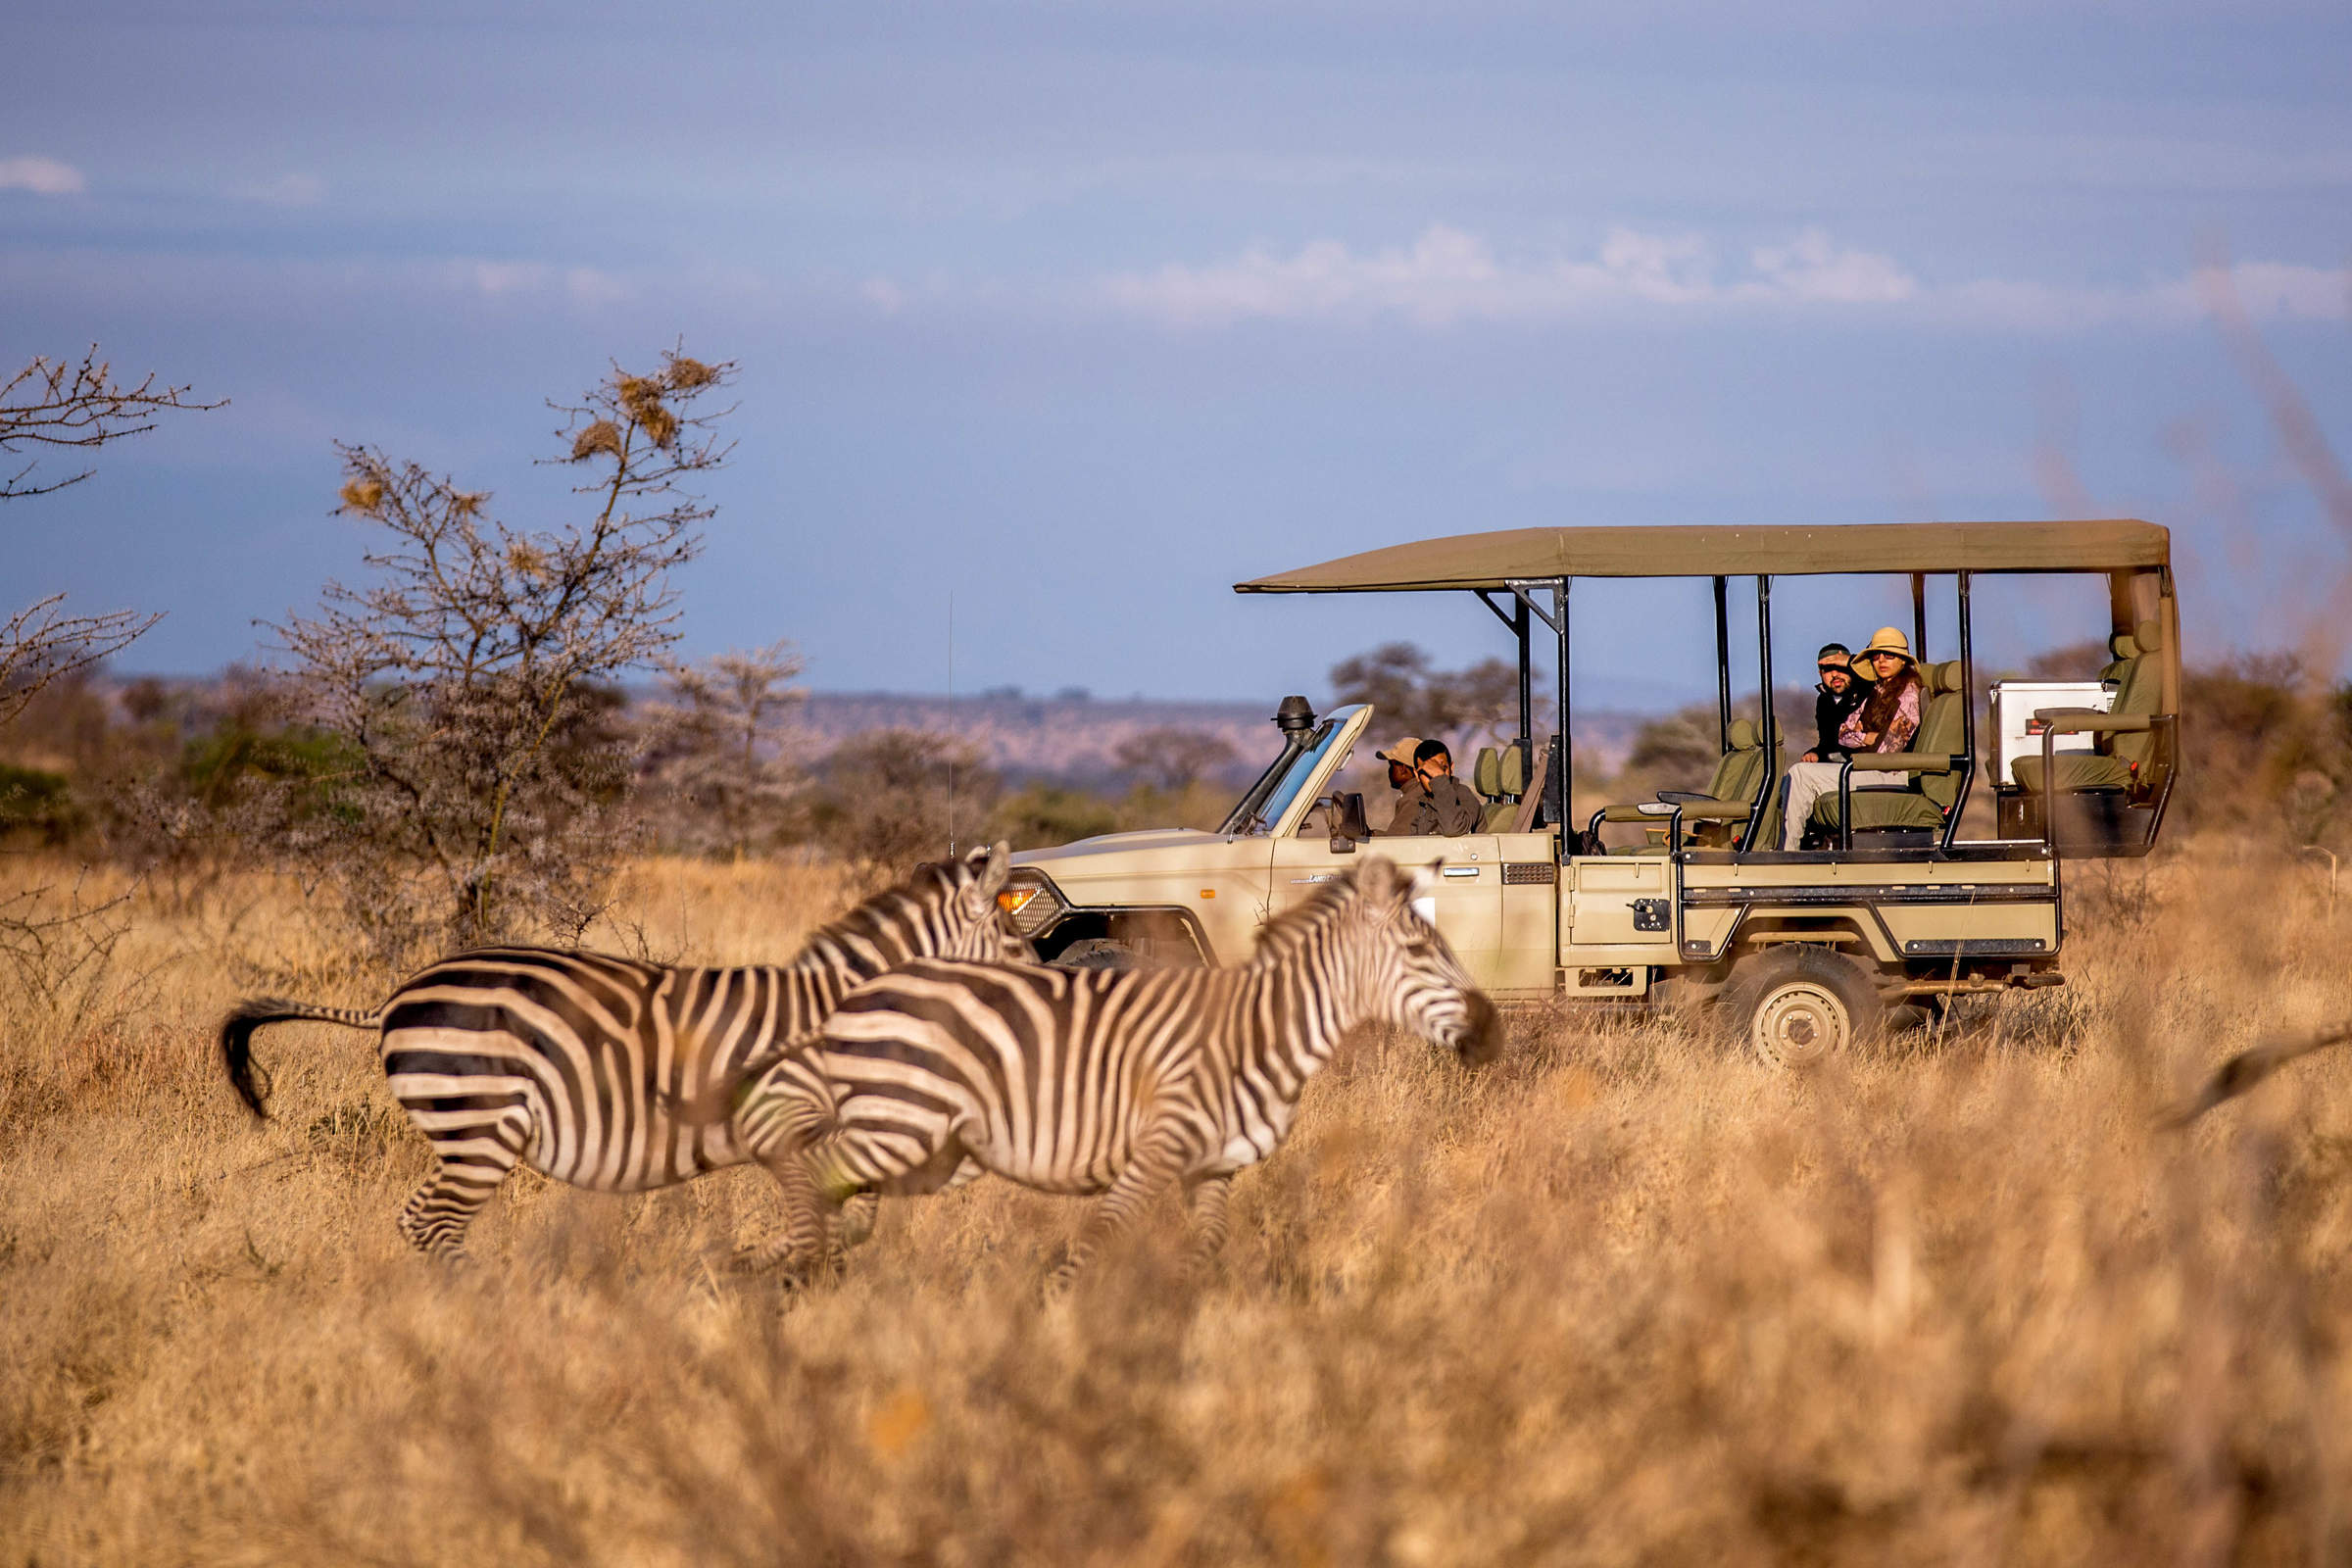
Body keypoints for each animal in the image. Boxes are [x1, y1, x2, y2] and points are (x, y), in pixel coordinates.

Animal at [216, 846, 1025, 1259]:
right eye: (1018, 944)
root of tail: (393, 996)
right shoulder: (792, 1129)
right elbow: (822, 1222)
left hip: (463, 1129)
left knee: (419, 1220)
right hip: (480, 1123)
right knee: (434, 1223)